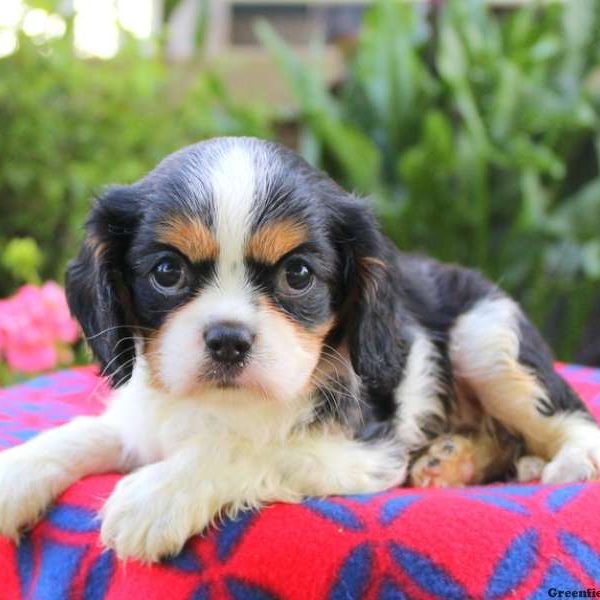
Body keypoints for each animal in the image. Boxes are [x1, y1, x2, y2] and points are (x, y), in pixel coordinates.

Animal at [1, 137, 600, 564]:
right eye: (167, 272)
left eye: (298, 275)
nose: (228, 338)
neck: (224, 402)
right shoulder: (144, 418)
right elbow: (83, 433)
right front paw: (16, 474)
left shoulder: (363, 450)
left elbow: (245, 448)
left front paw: (157, 495)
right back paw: (452, 461)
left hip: (485, 337)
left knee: (570, 420)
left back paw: (566, 458)